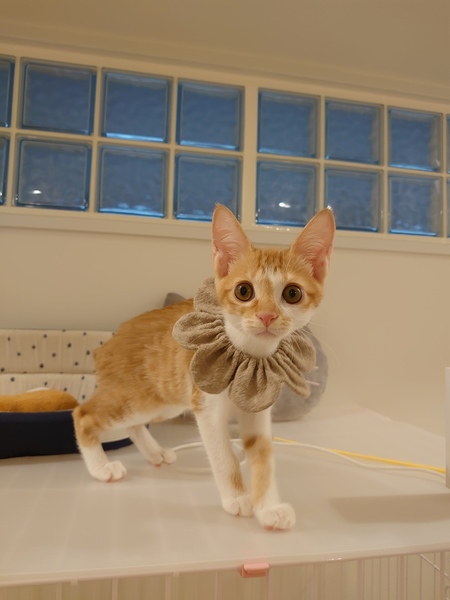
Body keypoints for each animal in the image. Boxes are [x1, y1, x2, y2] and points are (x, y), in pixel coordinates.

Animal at [73, 204, 335, 530]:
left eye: (292, 294)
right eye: (244, 291)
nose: (266, 316)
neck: (250, 356)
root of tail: (109, 341)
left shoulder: (259, 411)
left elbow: (263, 457)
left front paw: (269, 508)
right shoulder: (206, 408)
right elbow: (222, 455)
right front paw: (237, 498)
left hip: (167, 400)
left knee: (133, 424)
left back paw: (155, 452)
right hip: (140, 398)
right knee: (84, 414)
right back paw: (101, 468)